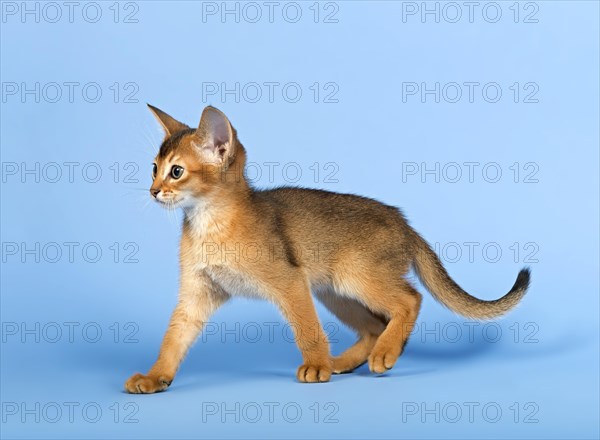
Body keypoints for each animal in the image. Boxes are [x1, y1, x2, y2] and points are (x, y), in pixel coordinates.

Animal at [122, 105, 528, 394]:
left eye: (176, 172)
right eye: (153, 168)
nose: (154, 191)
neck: (210, 223)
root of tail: (404, 222)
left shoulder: (290, 282)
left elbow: (307, 328)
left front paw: (315, 366)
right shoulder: (198, 292)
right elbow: (173, 338)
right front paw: (156, 376)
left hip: (354, 277)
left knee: (409, 299)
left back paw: (380, 354)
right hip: (333, 290)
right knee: (374, 325)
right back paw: (349, 360)